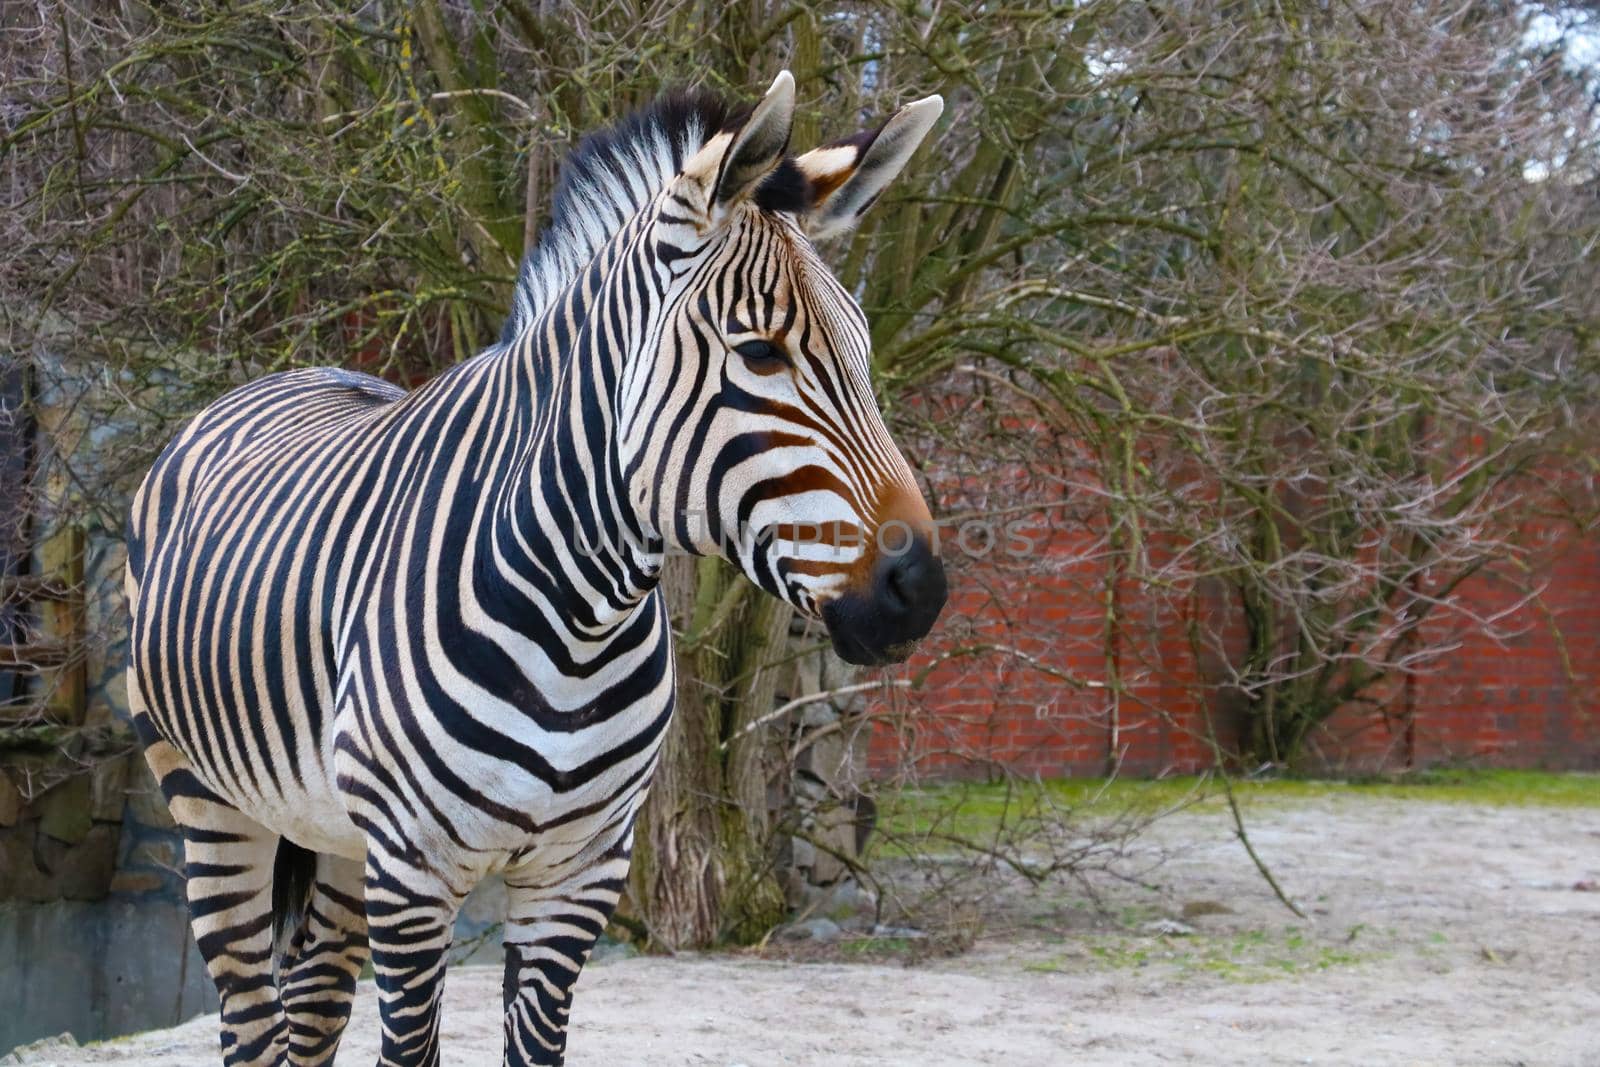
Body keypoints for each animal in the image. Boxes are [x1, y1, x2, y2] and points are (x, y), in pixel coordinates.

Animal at [128, 73, 947, 1067]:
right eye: (761, 351)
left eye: (864, 350)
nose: (921, 590)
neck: (580, 620)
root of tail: (279, 376)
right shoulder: (414, 871)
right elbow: (410, 1048)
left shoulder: (579, 873)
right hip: (205, 794)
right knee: (251, 1017)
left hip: (335, 832)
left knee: (313, 1005)